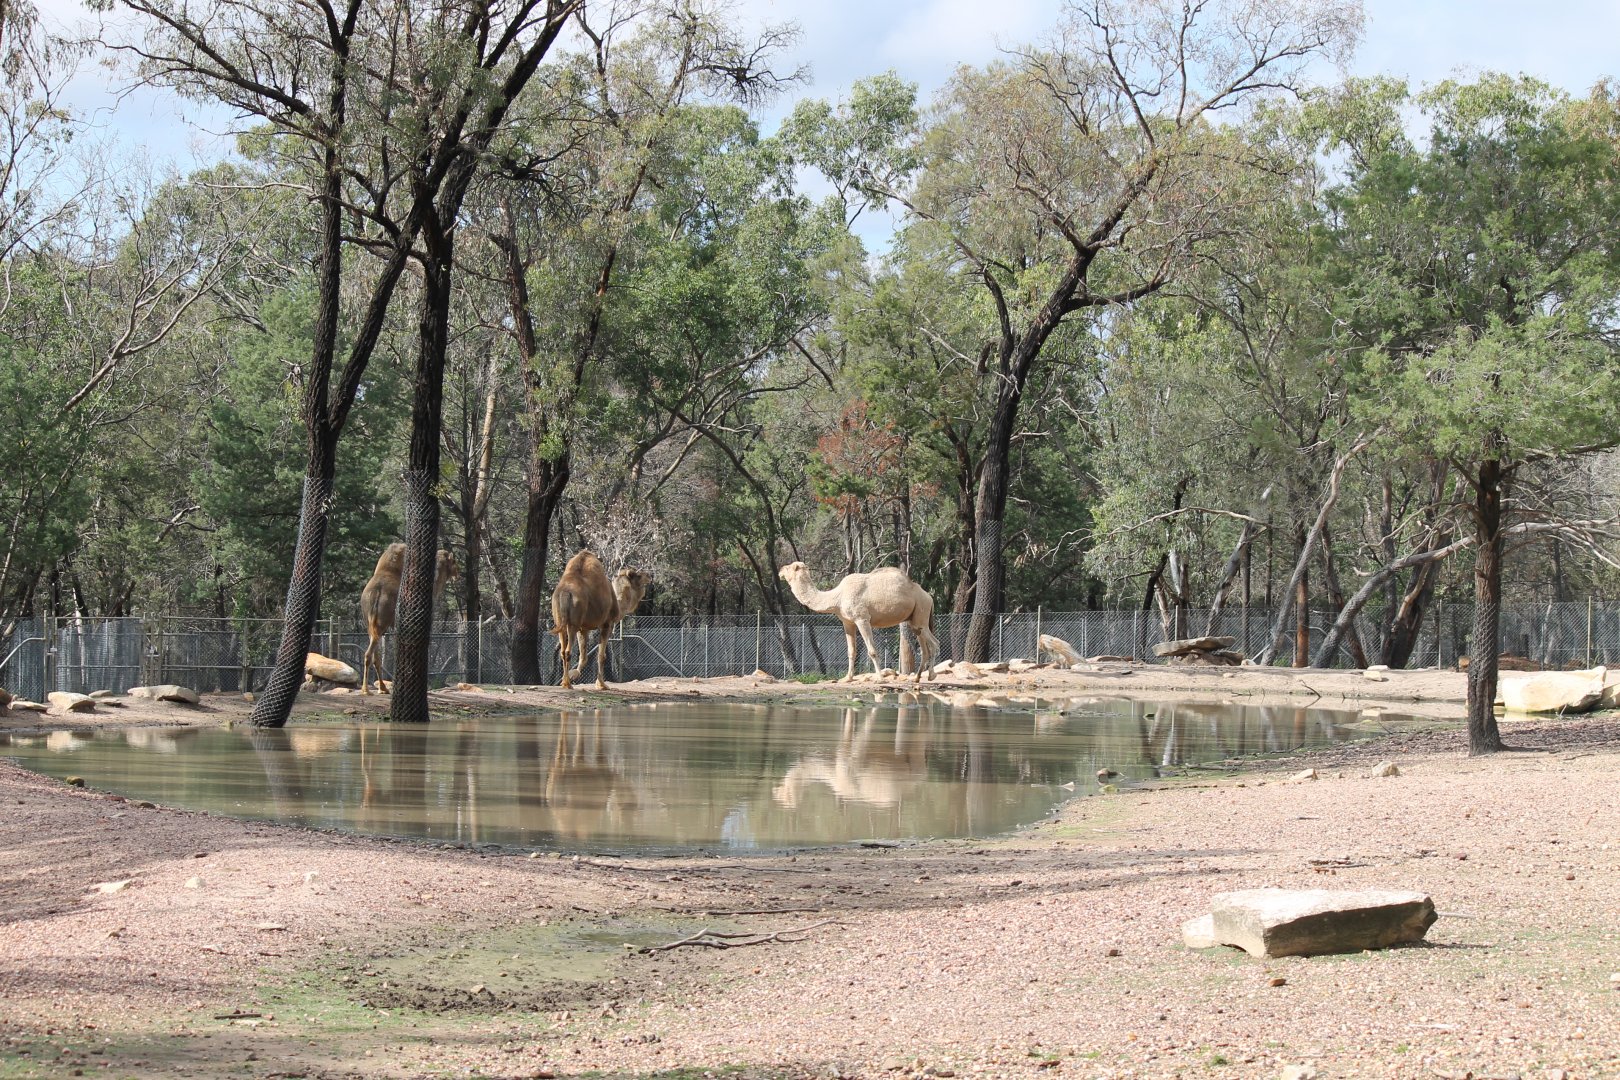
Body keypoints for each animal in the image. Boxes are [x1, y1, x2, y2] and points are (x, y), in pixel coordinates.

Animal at [360, 543, 460, 694]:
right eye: (453, 561)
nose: (458, 573)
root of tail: (375, 593)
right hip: (382, 623)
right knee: (369, 654)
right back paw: (366, 689)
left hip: (370, 624)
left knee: (374, 655)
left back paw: (382, 688)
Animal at [549, 549, 618, 690]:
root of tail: (565, 593)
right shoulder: (607, 623)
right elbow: (601, 656)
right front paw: (602, 684)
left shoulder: (583, 628)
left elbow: (584, 656)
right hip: (573, 624)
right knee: (567, 651)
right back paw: (568, 684)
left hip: (560, 622)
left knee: (563, 651)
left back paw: (564, 682)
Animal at [778, 561, 939, 683]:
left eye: (789, 567)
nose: (780, 570)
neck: (837, 597)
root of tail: (929, 597)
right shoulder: (848, 622)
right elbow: (851, 651)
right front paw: (847, 678)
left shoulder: (862, 619)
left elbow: (872, 650)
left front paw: (880, 678)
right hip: (915, 620)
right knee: (924, 646)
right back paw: (917, 677)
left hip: (922, 611)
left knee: (934, 643)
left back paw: (931, 675)